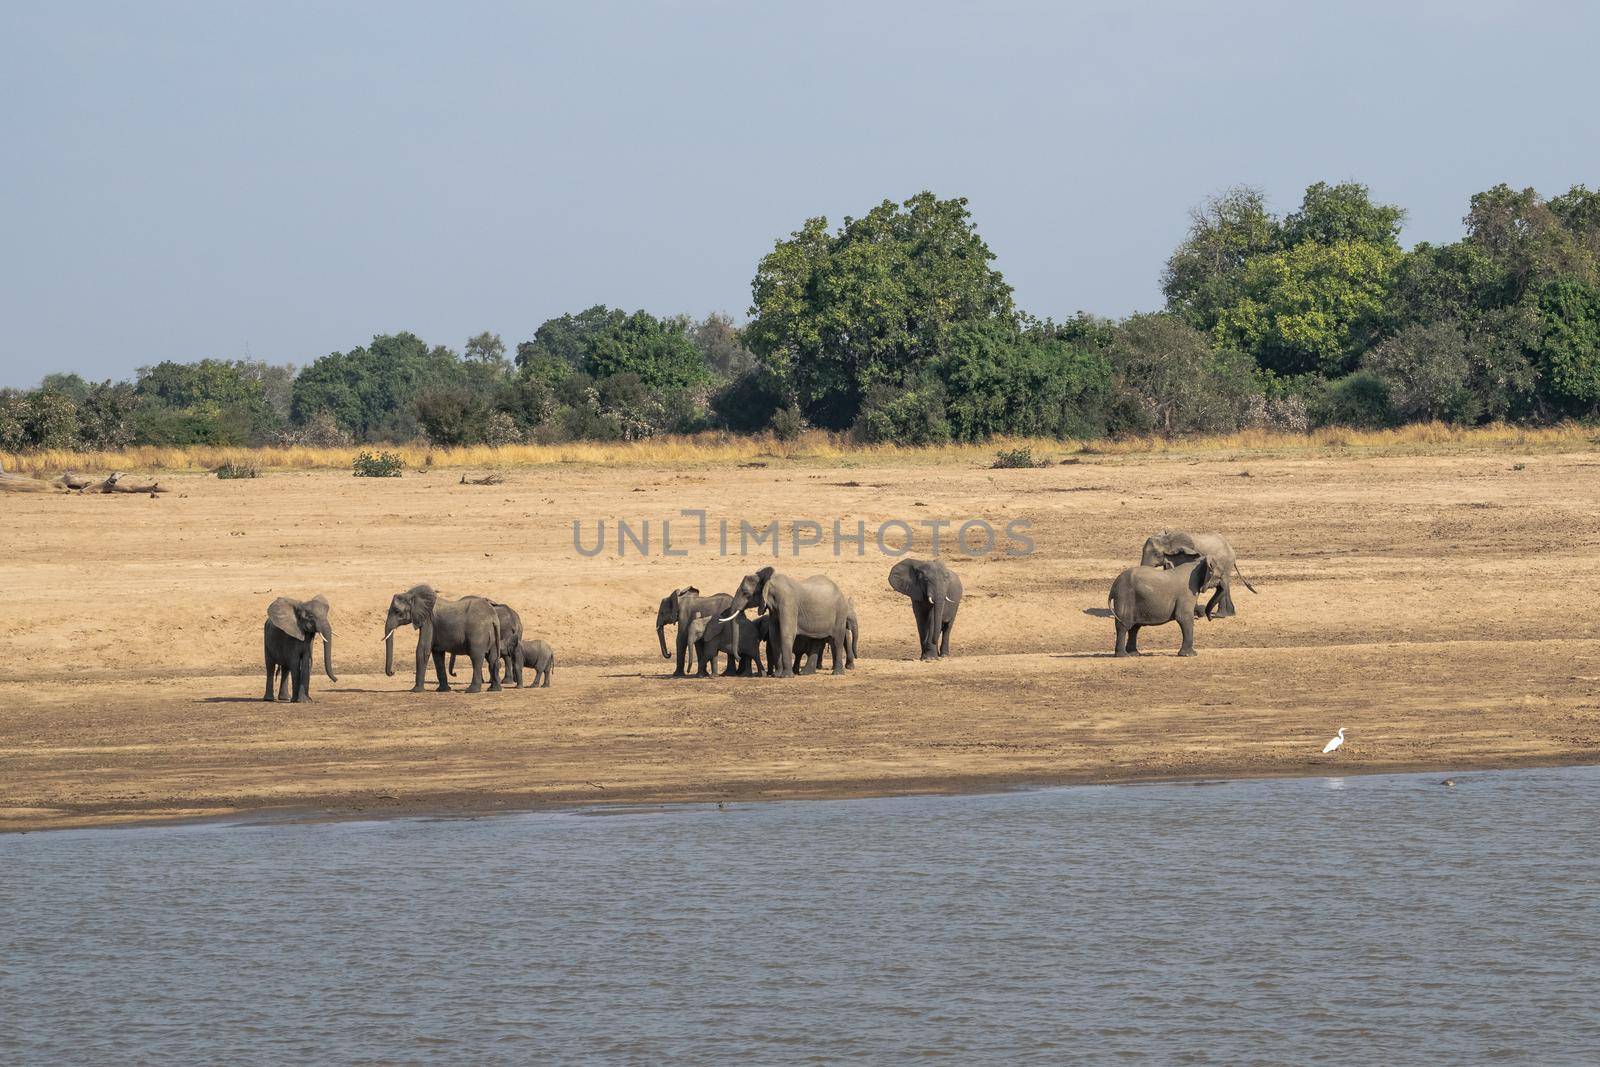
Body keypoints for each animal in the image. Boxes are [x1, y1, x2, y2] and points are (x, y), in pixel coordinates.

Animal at [723, 566, 851, 675]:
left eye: (745, 593)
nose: (739, 657)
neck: (770, 581)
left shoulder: (787, 603)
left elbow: (786, 633)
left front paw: (786, 676)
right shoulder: (774, 609)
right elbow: (774, 636)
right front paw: (777, 675)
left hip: (840, 612)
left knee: (837, 640)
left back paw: (837, 673)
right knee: (816, 640)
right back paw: (806, 673)